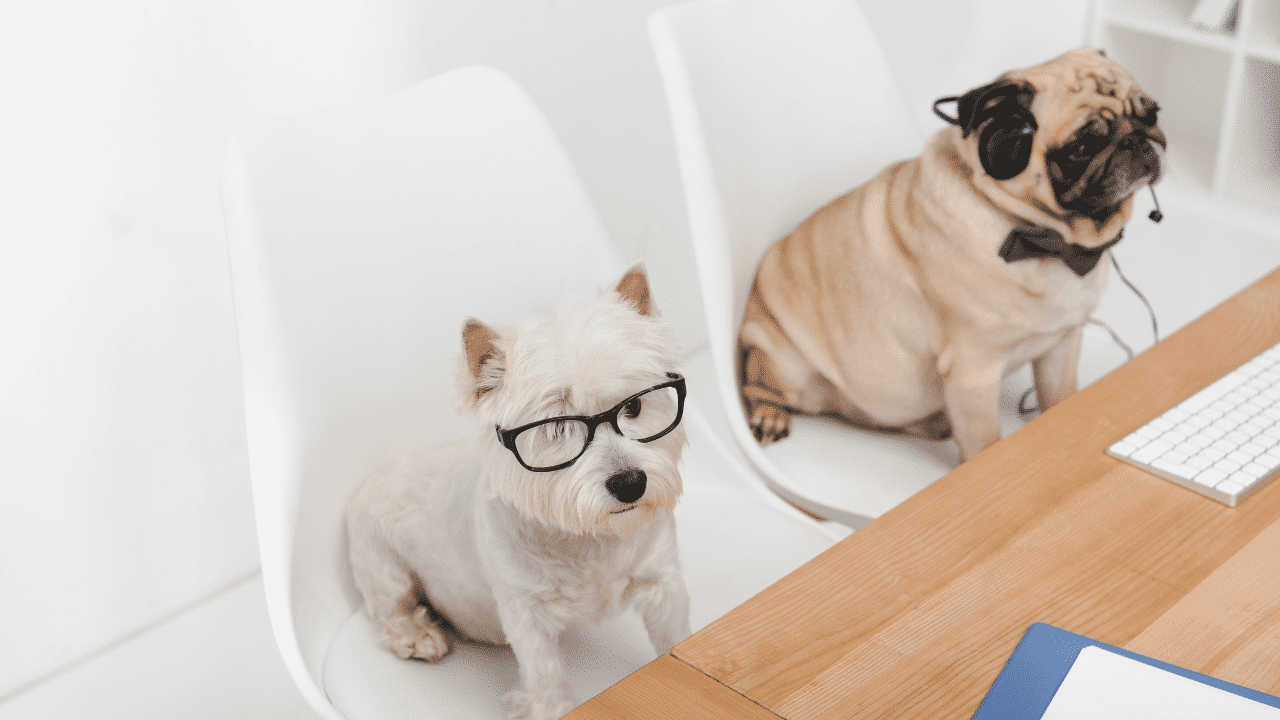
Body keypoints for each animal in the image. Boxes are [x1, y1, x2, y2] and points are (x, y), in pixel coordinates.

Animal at [345, 265, 696, 717]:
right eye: (558, 425)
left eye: (633, 406)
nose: (630, 483)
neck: (587, 538)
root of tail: (367, 483)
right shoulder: (525, 612)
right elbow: (545, 678)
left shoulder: (661, 579)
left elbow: (676, 640)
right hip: (381, 562)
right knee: (390, 607)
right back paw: (419, 636)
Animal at [737, 47, 1167, 458]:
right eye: (1082, 146)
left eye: (1152, 113)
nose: (1137, 138)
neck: (1047, 240)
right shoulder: (973, 372)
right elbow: (985, 442)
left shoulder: (1060, 347)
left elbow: (1060, 399)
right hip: (784, 364)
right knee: (756, 389)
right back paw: (770, 415)